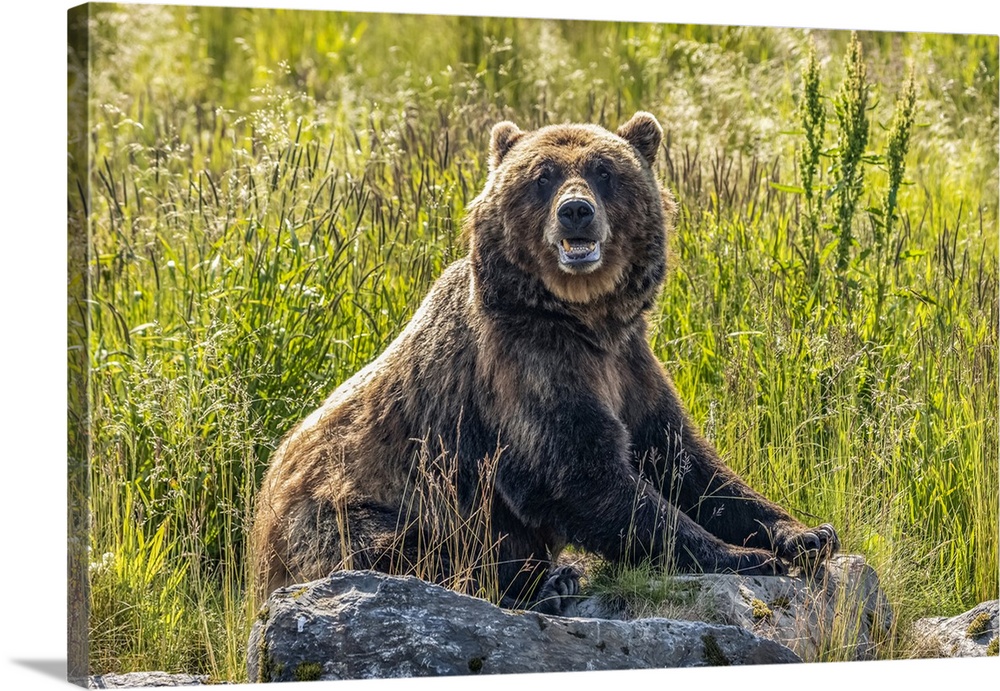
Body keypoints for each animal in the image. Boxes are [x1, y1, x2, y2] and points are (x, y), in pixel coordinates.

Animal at [250, 113, 836, 616]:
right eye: (542, 176)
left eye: (605, 172)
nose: (576, 210)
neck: (584, 319)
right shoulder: (526, 366)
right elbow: (580, 472)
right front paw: (746, 555)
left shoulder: (629, 367)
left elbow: (686, 463)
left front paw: (804, 534)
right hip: (351, 506)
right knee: (398, 548)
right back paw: (545, 582)